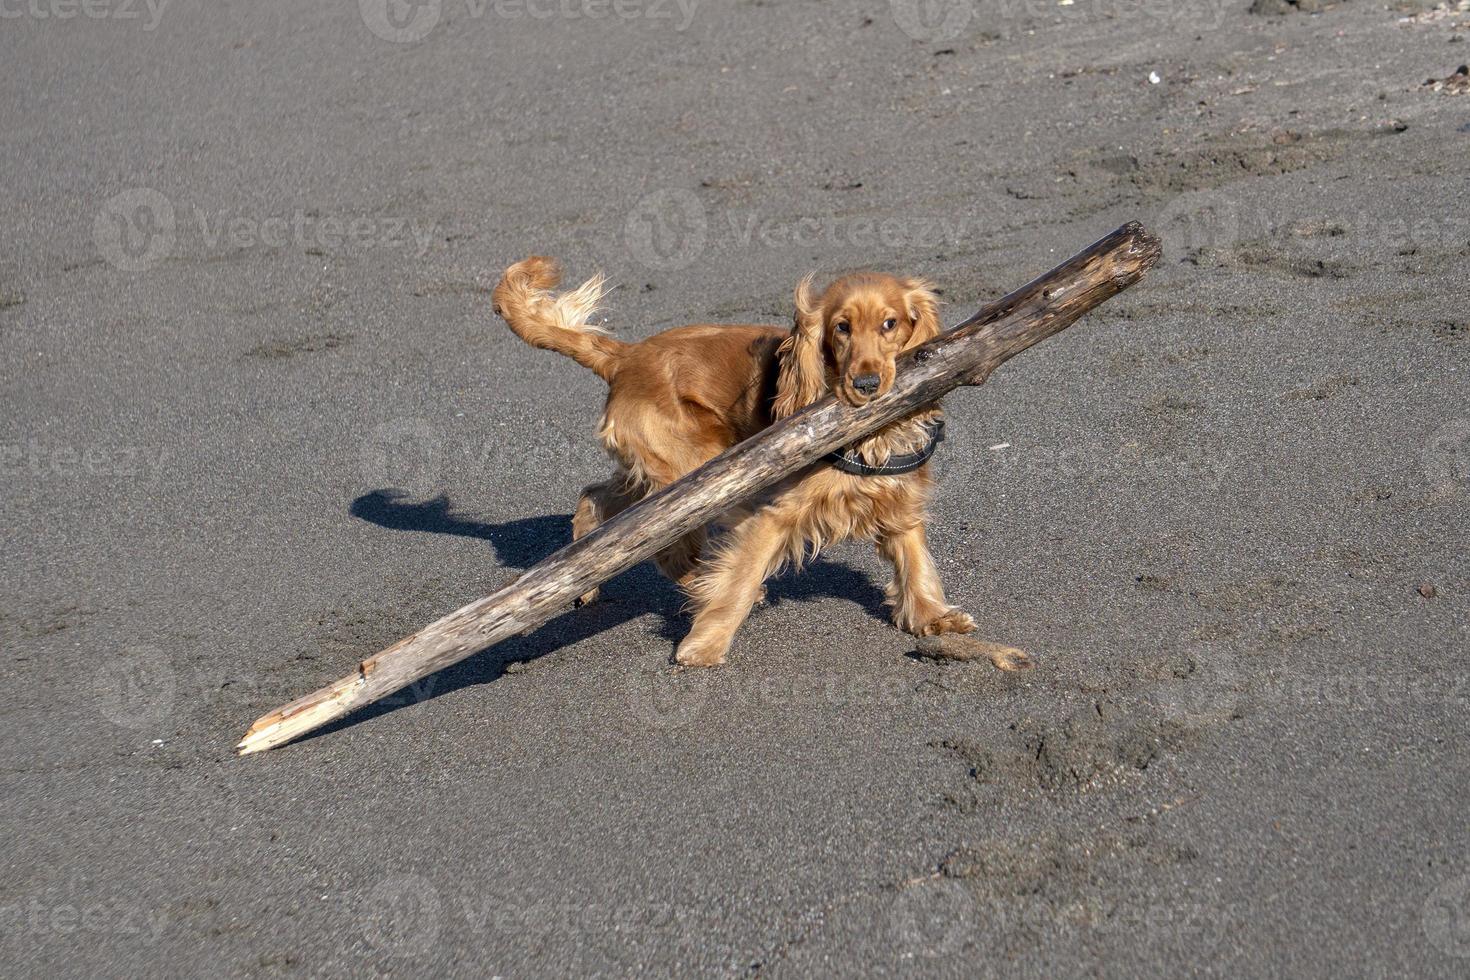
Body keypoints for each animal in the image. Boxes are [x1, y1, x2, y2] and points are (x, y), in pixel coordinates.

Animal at [490, 255, 976, 667]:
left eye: (890, 324)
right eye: (841, 328)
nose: (868, 384)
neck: (873, 435)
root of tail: (626, 356)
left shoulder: (899, 497)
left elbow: (915, 561)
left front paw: (933, 617)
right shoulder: (773, 512)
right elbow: (739, 579)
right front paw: (704, 645)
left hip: (661, 471)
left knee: (599, 500)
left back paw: (587, 578)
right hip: (696, 474)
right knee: (666, 548)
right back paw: (697, 584)